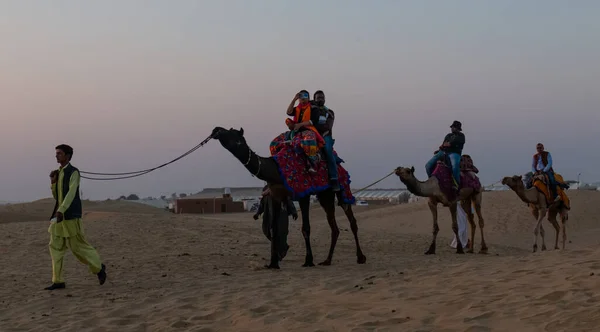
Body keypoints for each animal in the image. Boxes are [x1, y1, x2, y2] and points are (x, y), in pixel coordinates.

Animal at [212, 126, 370, 268]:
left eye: (230, 132)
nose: (216, 129)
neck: (276, 170)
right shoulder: (276, 196)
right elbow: (274, 229)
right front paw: (273, 263)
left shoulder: (303, 193)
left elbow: (305, 228)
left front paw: (308, 261)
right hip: (325, 194)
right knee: (334, 226)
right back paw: (327, 260)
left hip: (342, 188)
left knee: (351, 219)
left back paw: (361, 257)